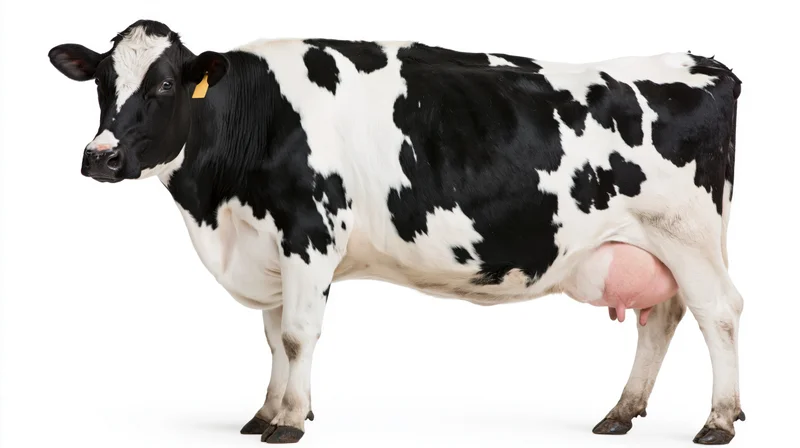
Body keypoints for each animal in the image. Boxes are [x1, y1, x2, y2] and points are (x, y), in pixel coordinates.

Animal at [47, 19, 745, 445]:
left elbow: (298, 336)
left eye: (165, 83)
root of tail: (701, 62)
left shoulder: (310, 232)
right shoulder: (270, 246)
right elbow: (273, 340)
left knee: (719, 311)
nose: (100, 156)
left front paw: (290, 421)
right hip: (656, 243)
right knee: (664, 316)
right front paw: (266, 410)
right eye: (103, 82)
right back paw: (621, 412)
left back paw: (719, 419)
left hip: (687, 234)